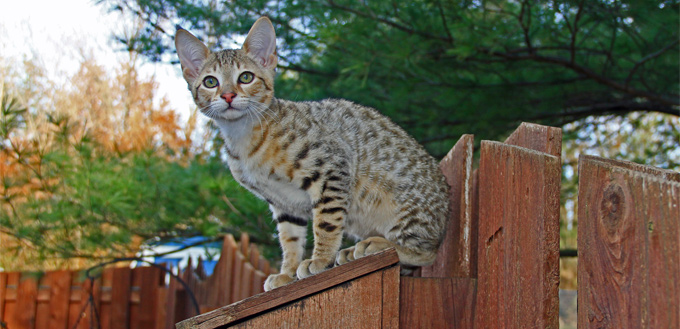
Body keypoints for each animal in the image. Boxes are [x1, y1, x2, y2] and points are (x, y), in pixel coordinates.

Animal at [175, 17, 452, 290]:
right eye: (211, 81)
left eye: (245, 77)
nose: (228, 95)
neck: (244, 137)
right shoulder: (283, 204)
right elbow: (290, 240)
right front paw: (287, 273)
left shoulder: (331, 167)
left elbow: (326, 222)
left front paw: (320, 259)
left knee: (428, 252)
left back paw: (375, 245)